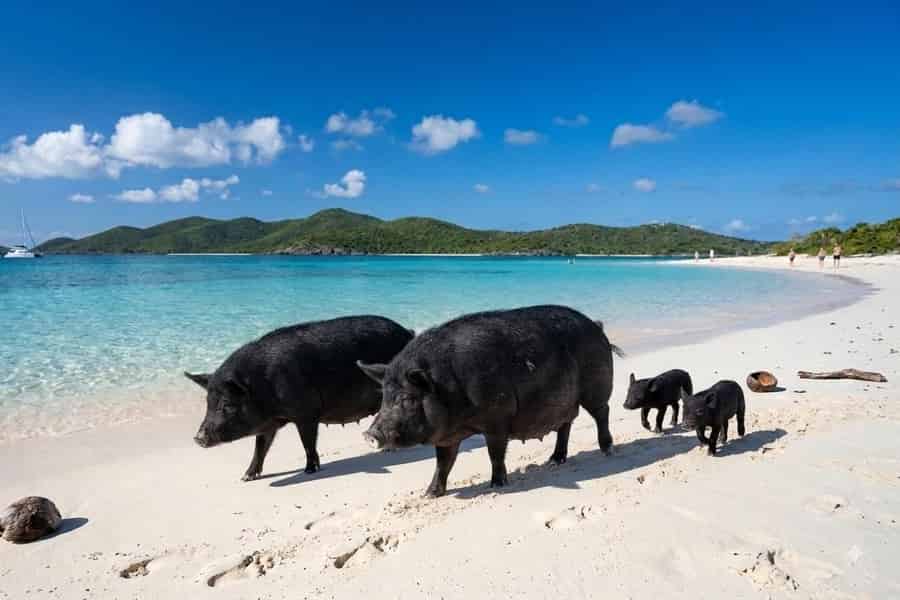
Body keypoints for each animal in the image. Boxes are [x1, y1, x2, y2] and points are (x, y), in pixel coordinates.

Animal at [185, 316, 414, 481]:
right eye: (208, 403)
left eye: (226, 404)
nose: (197, 437)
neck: (263, 387)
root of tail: (408, 333)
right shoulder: (270, 422)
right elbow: (260, 446)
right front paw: (246, 477)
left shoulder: (307, 412)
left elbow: (307, 442)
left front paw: (310, 470)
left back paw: (391, 449)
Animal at [357, 305, 623, 497]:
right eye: (384, 397)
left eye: (407, 398)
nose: (370, 434)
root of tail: (597, 327)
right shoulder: (447, 435)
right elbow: (443, 462)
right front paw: (429, 494)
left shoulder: (498, 417)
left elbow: (494, 452)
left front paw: (496, 485)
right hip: (566, 401)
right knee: (566, 423)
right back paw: (554, 461)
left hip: (597, 385)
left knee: (602, 412)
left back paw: (607, 450)